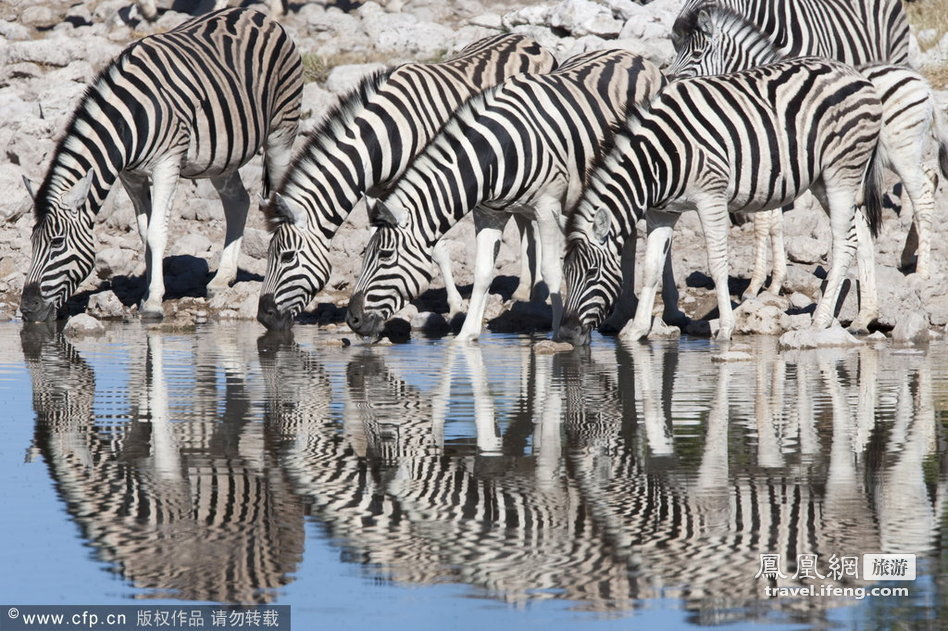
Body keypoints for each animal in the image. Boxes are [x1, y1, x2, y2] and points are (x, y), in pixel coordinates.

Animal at [20, 8, 302, 326]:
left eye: (56, 242)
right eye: (32, 241)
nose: (27, 308)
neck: (129, 121)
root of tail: (255, 13)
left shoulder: (167, 163)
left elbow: (156, 232)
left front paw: (154, 302)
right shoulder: (130, 175)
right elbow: (144, 234)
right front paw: (145, 293)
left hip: (281, 134)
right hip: (222, 155)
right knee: (238, 201)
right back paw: (222, 278)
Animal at [256, 34, 560, 330]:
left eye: (287, 257)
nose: (264, 318)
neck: (383, 138)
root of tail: (527, 38)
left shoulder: (426, 185)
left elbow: (437, 248)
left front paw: (455, 306)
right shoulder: (378, 193)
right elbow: (377, 237)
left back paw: (535, 291)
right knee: (524, 220)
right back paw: (524, 290)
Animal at [342, 50, 668, 344]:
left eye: (385, 256)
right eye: (365, 254)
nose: (352, 319)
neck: (494, 153)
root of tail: (640, 58)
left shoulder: (547, 206)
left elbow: (551, 271)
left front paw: (557, 332)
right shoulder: (489, 212)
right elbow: (483, 271)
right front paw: (466, 335)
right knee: (626, 236)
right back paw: (620, 314)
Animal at [560, 56, 884, 346]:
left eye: (591, 272)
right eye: (565, 272)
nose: (567, 334)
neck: (659, 159)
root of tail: (856, 74)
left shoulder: (711, 197)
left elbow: (717, 264)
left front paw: (726, 328)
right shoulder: (661, 212)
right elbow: (651, 268)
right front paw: (636, 331)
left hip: (841, 172)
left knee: (845, 242)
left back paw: (820, 320)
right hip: (822, 180)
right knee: (861, 233)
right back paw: (863, 317)